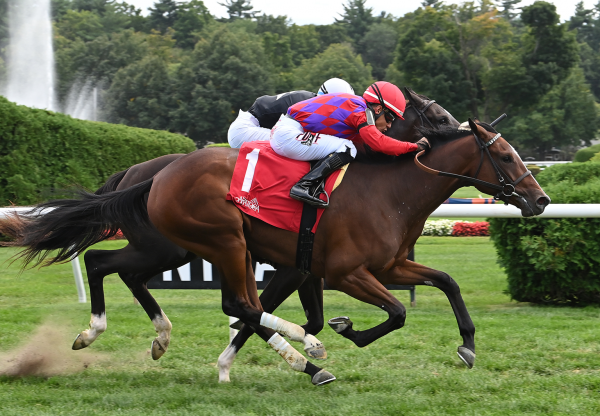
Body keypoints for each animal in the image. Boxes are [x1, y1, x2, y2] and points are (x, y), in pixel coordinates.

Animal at [0, 118, 552, 386]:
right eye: (506, 156)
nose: (541, 200)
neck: (389, 191)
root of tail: (153, 176)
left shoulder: (386, 263)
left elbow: (447, 282)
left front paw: (467, 345)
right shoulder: (344, 270)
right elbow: (394, 312)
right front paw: (343, 331)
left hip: (184, 247)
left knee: (109, 265)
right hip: (218, 239)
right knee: (240, 303)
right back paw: (308, 358)